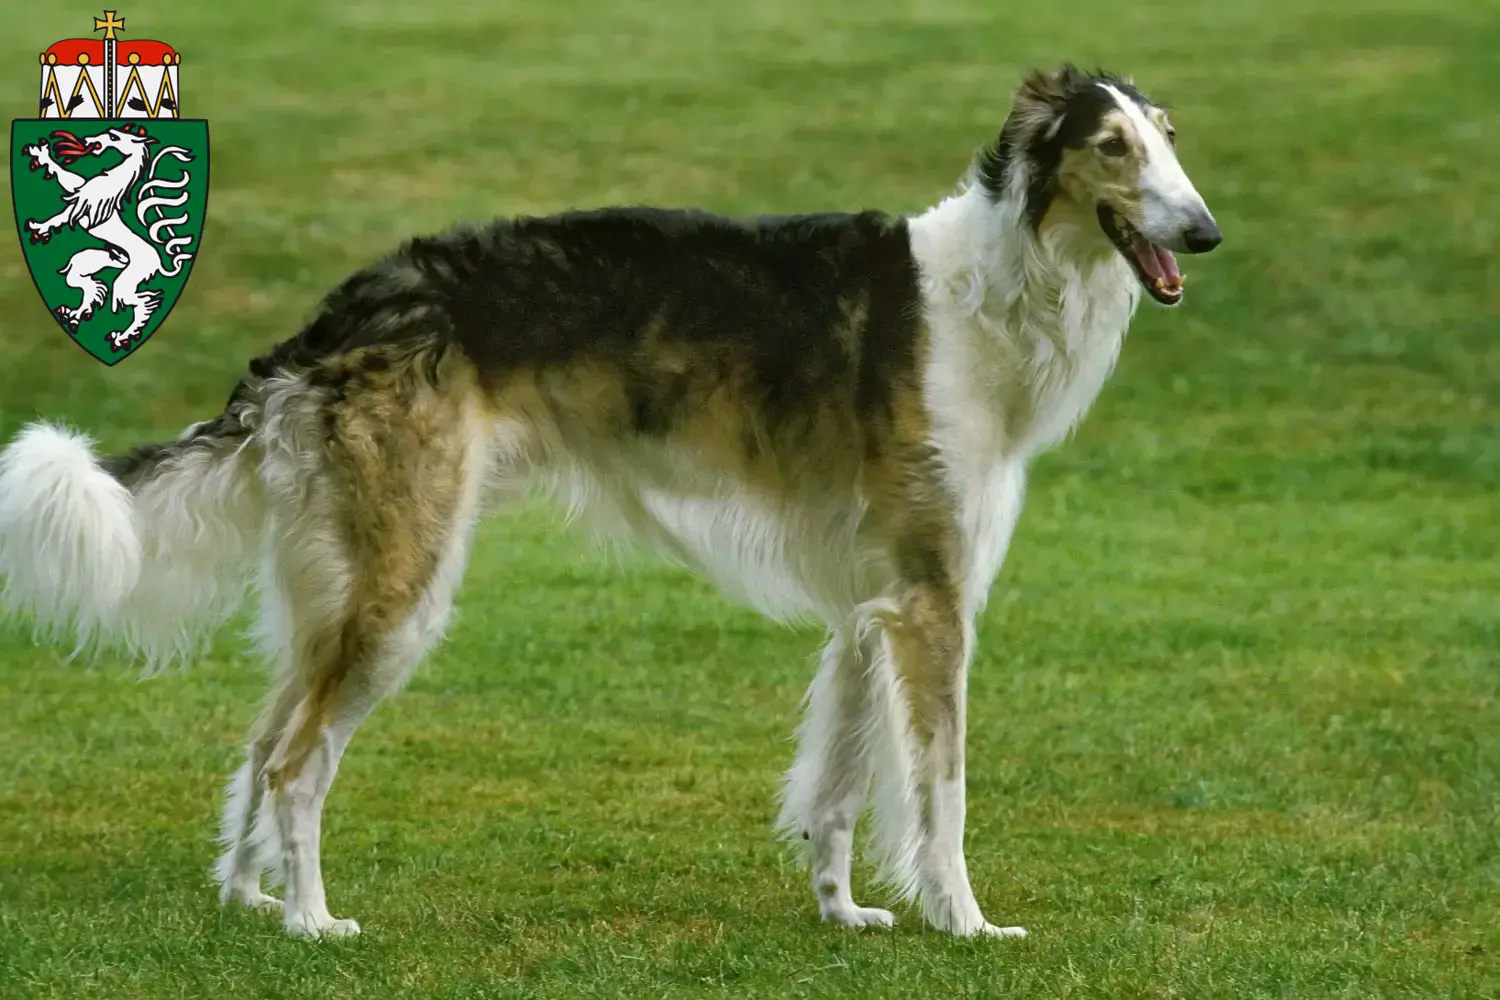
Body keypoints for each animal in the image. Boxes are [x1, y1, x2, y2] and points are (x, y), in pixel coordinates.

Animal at [0, 64, 1218, 941]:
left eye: (1170, 135)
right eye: (1112, 147)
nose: (1205, 231)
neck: (989, 294)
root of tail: (336, 316)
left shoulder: (869, 605)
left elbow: (837, 782)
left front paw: (844, 910)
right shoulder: (932, 599)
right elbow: (942, 790)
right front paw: (964, 922)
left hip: (339, 581)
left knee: (261, 743)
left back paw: (248, 899)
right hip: (404, 582)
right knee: (299, 761)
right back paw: (310, 922)